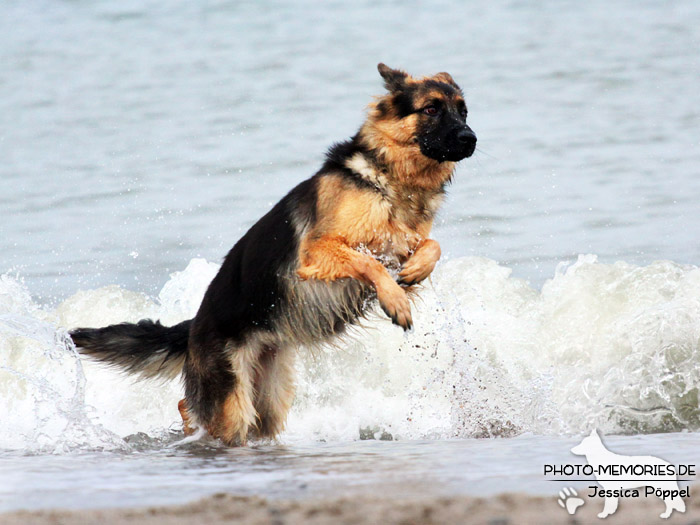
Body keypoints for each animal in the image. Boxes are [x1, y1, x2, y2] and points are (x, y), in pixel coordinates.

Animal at [69, 63, 476, 444]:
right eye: (431, 109)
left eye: (463, 111)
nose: (471, 138)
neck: (391, 178)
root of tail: (193, 325)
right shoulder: (318, 252)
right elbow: (367, 262)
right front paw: (395, 300)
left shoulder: (400, 245)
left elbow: (430, 247)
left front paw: (416, 271)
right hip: (231, 401)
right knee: (193, 407)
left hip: (268, 398)